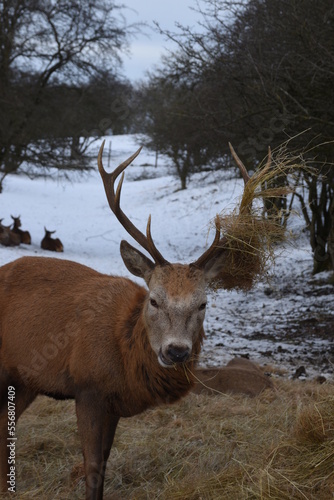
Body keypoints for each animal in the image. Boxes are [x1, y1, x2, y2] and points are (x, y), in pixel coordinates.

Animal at [0, 143, 264, 498]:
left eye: (203, 303)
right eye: (154, 299)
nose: (176, 351)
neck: (124, 350)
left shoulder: (112, 403)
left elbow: (104, 464)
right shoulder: (87, 386)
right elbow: (92, 467)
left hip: (24, 380)